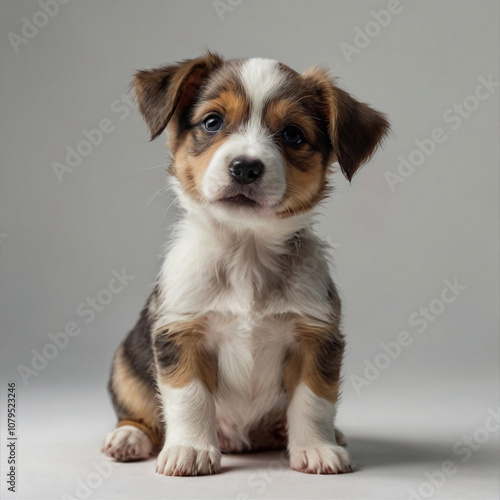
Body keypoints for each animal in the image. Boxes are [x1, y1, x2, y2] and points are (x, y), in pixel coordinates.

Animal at [102, 51, 390, 476]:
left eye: (292, 134)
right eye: (212, 121)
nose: (245, 168)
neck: (246, 252)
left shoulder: (316, 337)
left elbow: (314, 401)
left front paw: (316, 447)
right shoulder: (180, 333)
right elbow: (189, 397)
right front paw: (190, 449)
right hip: (125, 363)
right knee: (140, 414)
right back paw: (128, 438)